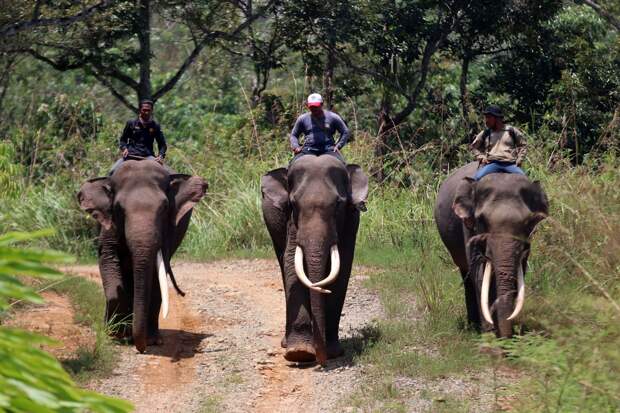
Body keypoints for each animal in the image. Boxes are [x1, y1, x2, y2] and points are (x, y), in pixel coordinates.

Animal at [77, 159, 207, 352]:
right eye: (119, 208)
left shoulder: (169, 230)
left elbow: (156, 275)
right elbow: (108, 257)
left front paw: (145, 339)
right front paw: (115, 335)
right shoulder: (108, 223)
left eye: (165, 208)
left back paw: (149, 338)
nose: (141, 349)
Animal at [260, 154, 368, 364]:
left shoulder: (350, 220)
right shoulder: (292, 222)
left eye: (338, 204)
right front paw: (299, 353)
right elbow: (291, 263)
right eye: (293, 204)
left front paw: (332, 352)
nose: (321, 359)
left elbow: (342, 267)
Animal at [434, 162, 548, 338]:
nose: (507, 337)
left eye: (527, 222)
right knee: (467, 277)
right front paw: (490, 336)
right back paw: (473, 327)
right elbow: (479, 273)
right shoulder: (469, 228)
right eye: (481, 220)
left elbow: (518, 271)